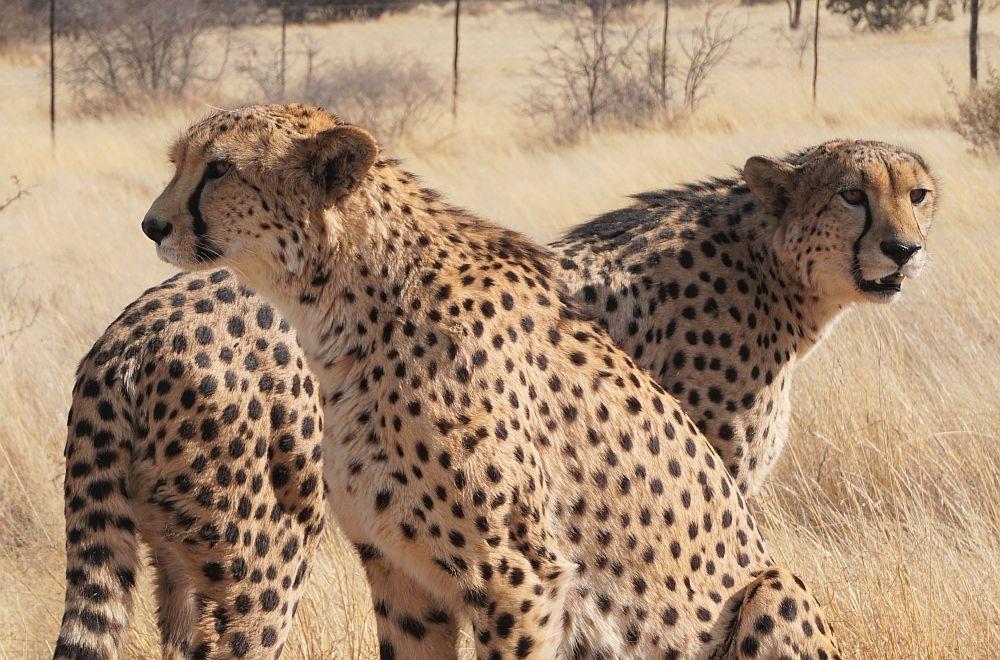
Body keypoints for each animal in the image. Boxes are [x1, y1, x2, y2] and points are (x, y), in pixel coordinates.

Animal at [137, 102, 840, 656]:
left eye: (219, 168)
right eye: (177, 161)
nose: (152, 224)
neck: (342, 306)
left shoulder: (518, 577)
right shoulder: (399, 572)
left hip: (775, 587)